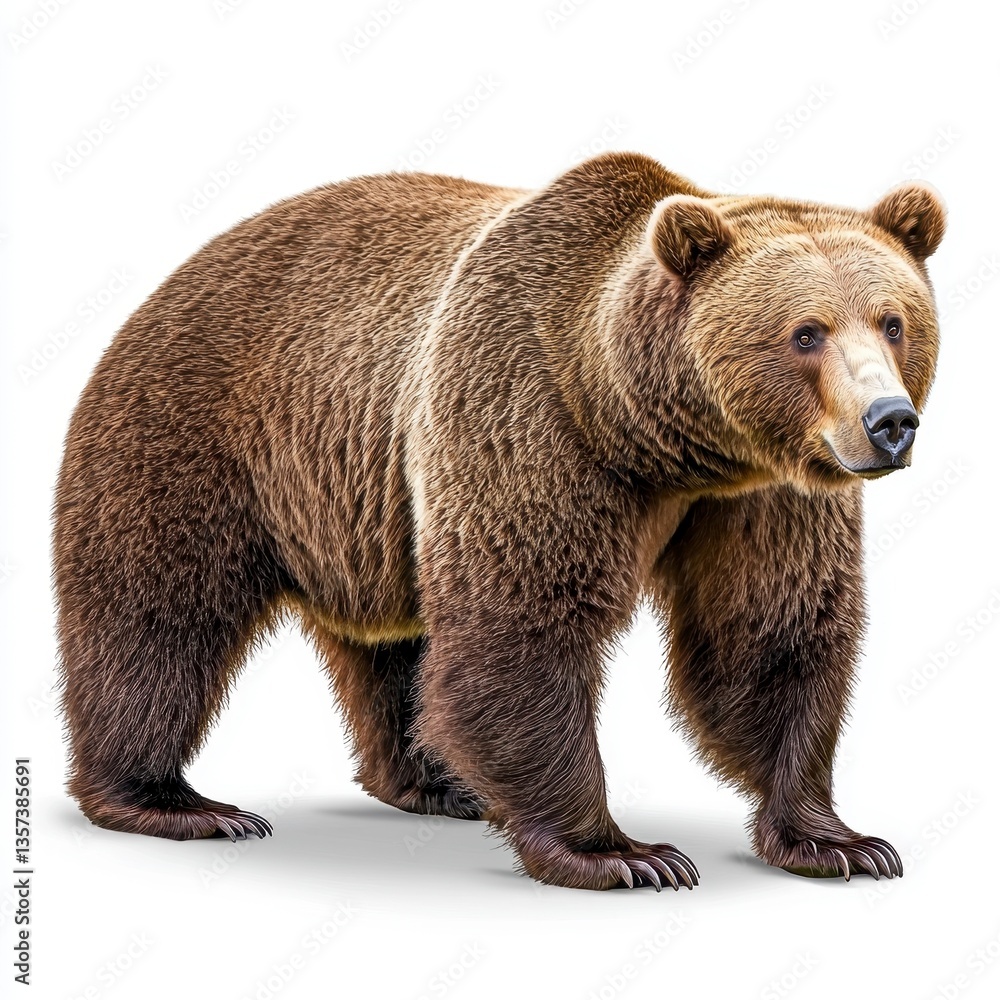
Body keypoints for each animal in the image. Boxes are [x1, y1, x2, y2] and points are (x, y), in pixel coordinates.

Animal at [53, 152, 945, 890]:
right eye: (806, 332)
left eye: (894, 320)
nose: (889, 422)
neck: (658, 439)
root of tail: (179, 271)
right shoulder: (527, 413)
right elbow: (522, 622)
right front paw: (623, 854)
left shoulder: (763, 490)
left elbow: (768, 633)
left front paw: (839, 841)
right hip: (198, 431)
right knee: (157, 614)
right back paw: (172, 801)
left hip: (368, 510)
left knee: (398, 645)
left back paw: (438, 781)